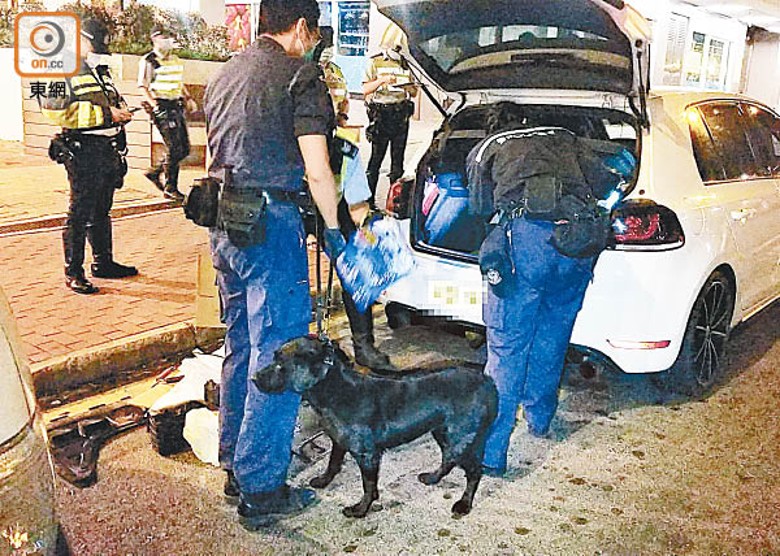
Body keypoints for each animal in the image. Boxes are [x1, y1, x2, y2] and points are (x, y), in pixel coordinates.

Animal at [256, 336, 500, 520]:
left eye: (280, 364)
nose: (253, 377)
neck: (335, 390)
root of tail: (485, 377)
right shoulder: (338, 441)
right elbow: (333, 463)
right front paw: (323, 481)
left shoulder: (367, 455)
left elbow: (368, 485)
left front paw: (360, 509)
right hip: (443, 432)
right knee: (449, 460)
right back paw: (432, 478)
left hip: (462, 437)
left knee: (473, 471)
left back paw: (463, 504)